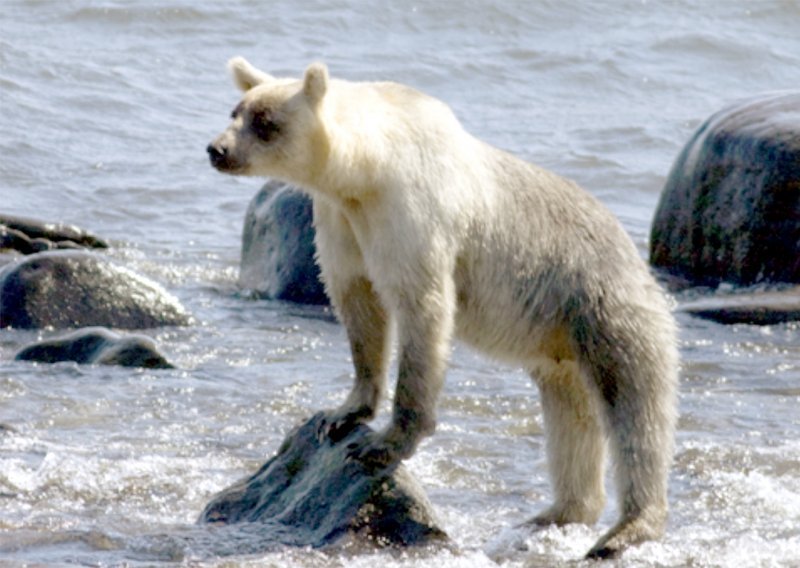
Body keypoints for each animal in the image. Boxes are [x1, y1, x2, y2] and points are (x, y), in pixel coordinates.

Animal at [206, 58, 676, 560]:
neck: (368, 168)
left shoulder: (412, 216)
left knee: (636, 411)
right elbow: (358, 304)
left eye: (265, 122)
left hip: (606, 307)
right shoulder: (341, 219)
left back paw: (626, 529)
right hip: (560, 346)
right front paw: (341, 413)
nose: (217, 149)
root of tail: (636, 257)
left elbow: (422, 310)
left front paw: (384, 443)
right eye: (236, 110)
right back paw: (558, 512)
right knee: (571, 417)